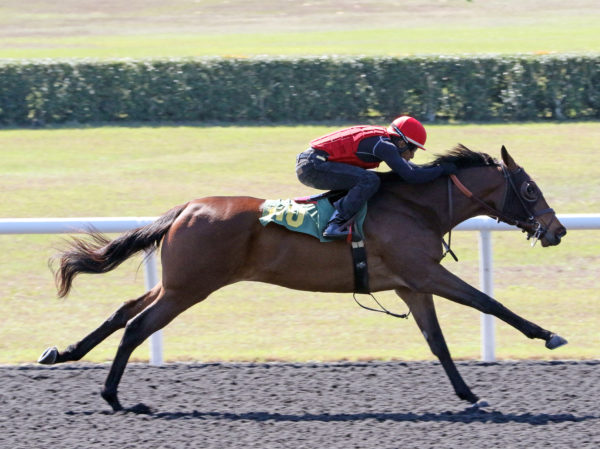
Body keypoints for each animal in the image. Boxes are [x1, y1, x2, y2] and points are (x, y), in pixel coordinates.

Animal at [38, 145, 568, 412]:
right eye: (529, 189)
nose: (557, 230)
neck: (416, 207)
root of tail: (186, 208)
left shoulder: (409, 284)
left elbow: (436, 342)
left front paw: (469, 394)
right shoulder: (426, 273)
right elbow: (489, 303)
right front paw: (548, 335)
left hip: (177, 283)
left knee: (122, 312)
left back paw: (63, 353)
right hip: (190, 287)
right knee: (137, 326)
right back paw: (114, 398)